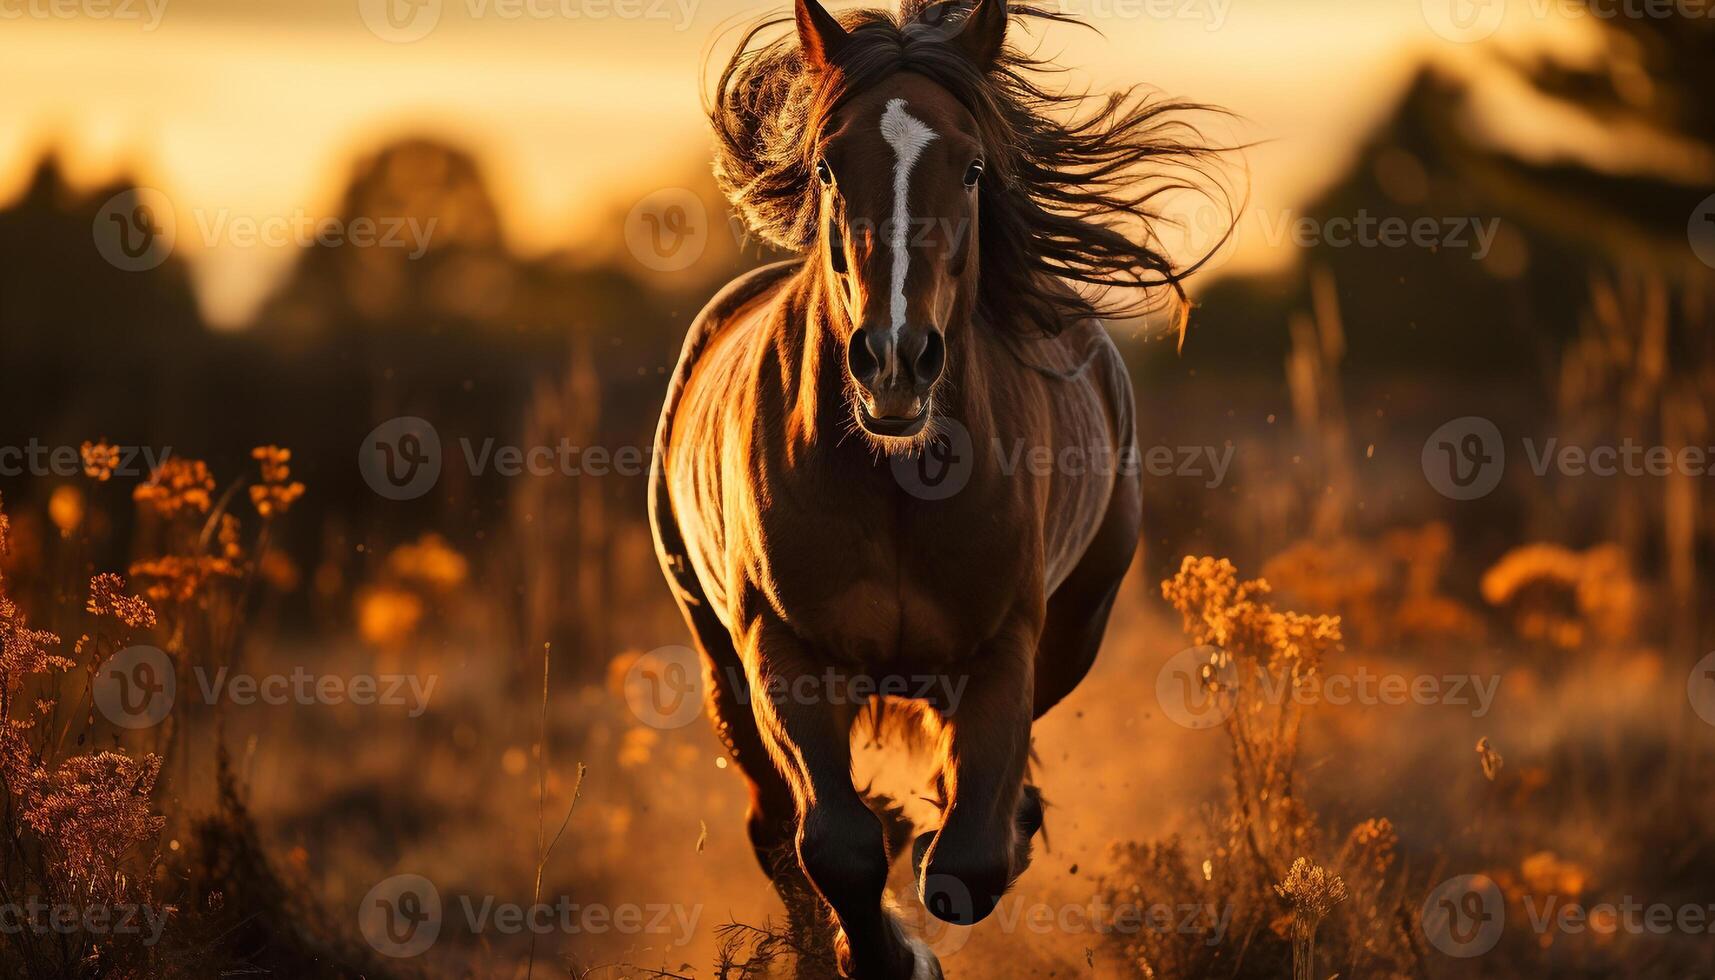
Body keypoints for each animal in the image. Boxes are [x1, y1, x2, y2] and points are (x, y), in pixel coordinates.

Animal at [648, 3, 1227, 974]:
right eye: (826, 165)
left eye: (972, 165)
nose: (893, 360)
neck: (895, 483)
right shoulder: (782, 653)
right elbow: (835, 845)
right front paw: (885, 950)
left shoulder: (1002, 652)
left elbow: (968, 858)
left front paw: (924, 881)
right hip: (719, 661)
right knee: (773, 828)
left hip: (1074, 632)